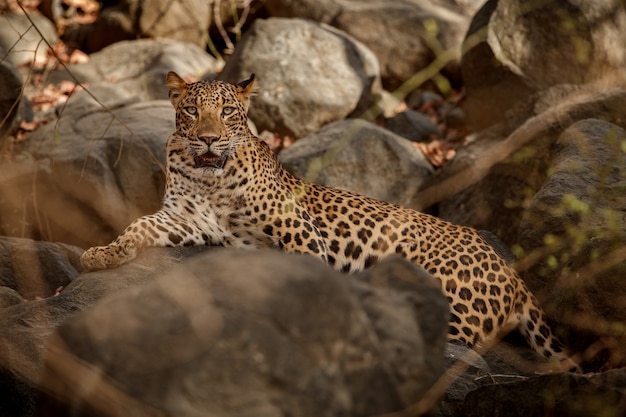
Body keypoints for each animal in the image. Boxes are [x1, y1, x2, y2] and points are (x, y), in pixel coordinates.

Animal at [80, 72, 576, 370]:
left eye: (227, 112)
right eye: (191, 111)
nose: (207, 139)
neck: (209, 180)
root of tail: (511, 270)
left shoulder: (298, 229)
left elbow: (305, 266)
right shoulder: (184, 219)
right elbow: (138, 226)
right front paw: (102, 253)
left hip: (447, 295)